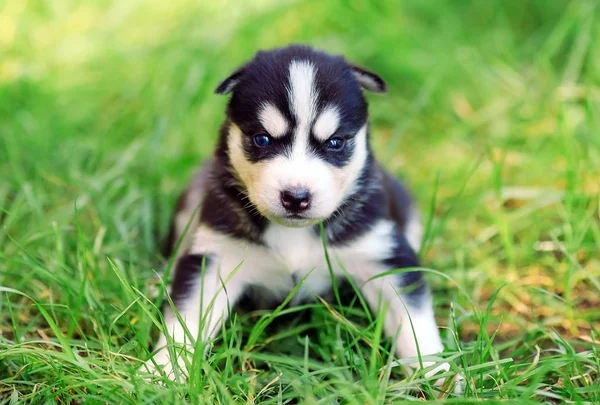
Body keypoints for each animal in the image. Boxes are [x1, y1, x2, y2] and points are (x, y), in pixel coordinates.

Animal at [145, 45, 448, 380]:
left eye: (335, 142)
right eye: (262, 139)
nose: (296, 197)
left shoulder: (383, 254)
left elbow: (415, 323)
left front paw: (438, 375)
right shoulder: (216, 257)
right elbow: (185, 321)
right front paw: (162, 372)